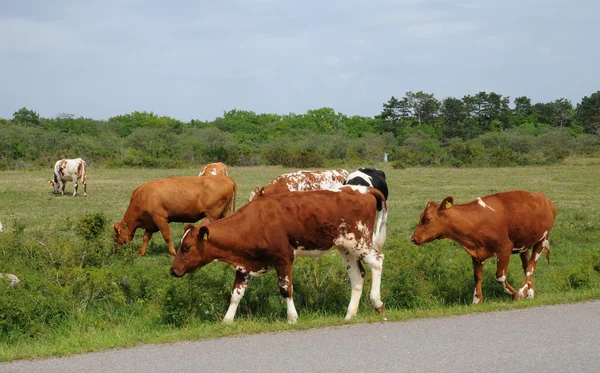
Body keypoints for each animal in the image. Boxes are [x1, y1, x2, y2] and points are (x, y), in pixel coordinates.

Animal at [173, 185, 390, 322]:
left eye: (187, 247)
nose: (173, 270)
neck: (253, 223)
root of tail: (363, 189)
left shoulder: (283, 258)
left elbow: (286, 289)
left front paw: (292, 318)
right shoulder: (244, 264)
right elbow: (235, 294)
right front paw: (227, 320)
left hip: (361, 242)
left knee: (377, 261)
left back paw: (377, 301)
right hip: (346, 248)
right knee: (357, 277)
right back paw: (349, 314)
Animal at [410, 190, 556, 304]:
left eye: (428, 219)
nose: (413, 239)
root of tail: (544, 198)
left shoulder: (504, 249)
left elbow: (500, 277)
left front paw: (516, 294)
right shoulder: (476, 253)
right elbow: (477, 276)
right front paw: (477, 300)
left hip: (542, 239)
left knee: (531, 267)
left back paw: (522, 291)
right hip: (523, 245)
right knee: (526, 266)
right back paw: (530, 293)